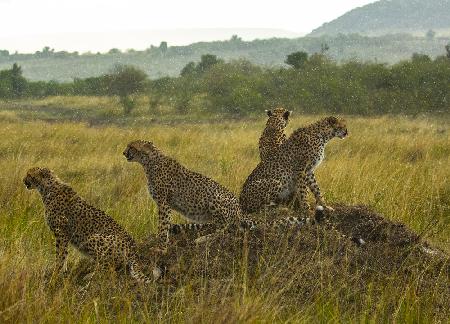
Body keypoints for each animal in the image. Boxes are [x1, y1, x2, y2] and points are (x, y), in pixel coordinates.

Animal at [23, 167, 155, 284]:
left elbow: (60, 256)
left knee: (110, 268)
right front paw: (62, 272)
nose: (24, 180)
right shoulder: (63, 234)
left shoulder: (61, 232)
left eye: (29, 174)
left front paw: (55, 275)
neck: (47, 187)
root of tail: (135, 251)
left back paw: (90, 276)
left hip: (93, 238)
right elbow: (64, 254)